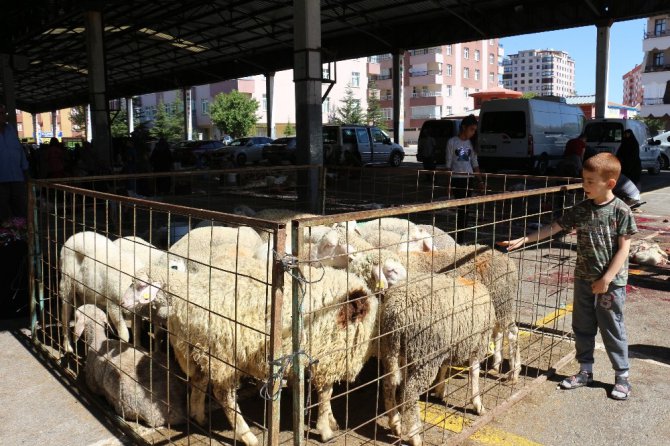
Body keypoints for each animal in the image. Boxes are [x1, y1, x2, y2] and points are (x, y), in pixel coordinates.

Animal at [121, 260, 380, 444]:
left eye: (141, 286)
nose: (123, 304)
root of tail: (184, 302)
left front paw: (330, 422)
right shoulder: (327, 355)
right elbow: (326, 394)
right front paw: (325, 429)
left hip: (198, 350)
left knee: (198, 381)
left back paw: (199, 416)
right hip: (223, 353)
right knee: (223, 394)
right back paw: (248, 436)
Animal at [380, 274, 496, 444]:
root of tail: (396, 312)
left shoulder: (448, 346)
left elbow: (445, 367)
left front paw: (440, 389)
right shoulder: (478, 343)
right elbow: (474, 373)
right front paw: (478, 404)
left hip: (394, 351)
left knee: (389, 386)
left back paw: (395, 423)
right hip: (425, 354)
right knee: (409, 393)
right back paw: (415, 436)